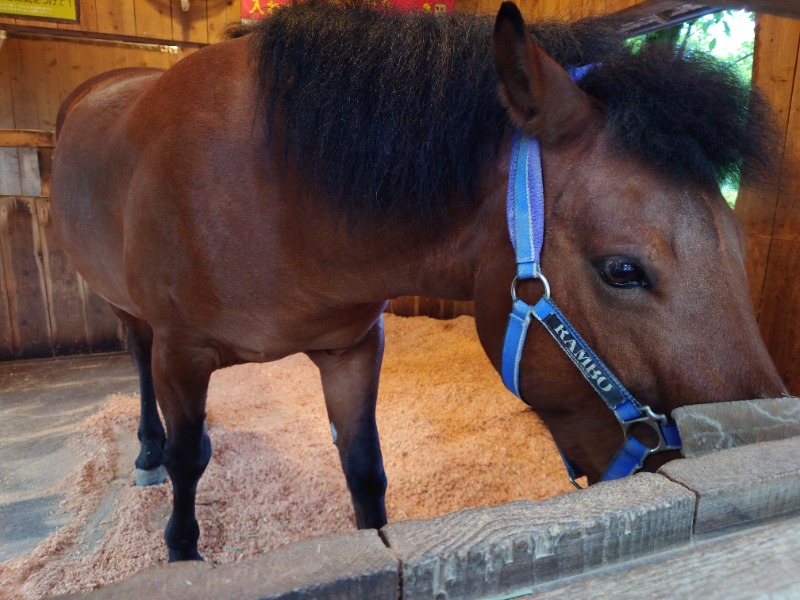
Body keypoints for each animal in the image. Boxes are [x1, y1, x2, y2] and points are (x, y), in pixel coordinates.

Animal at [51, 1, 788, 564]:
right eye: (623, 270)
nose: (755, 454)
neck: (271, 189)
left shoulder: (351, 348)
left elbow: (364, 470)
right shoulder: (184, 351)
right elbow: (184, 466)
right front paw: (181, 550)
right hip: (129, 314)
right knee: (143, 369)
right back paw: (148, 449)